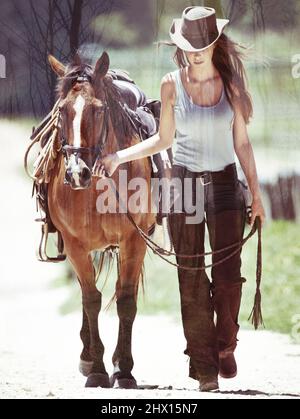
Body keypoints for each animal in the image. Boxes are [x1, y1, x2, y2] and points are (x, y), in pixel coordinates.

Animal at [47, 52, 155, 390]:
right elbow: (91, 299)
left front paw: (125, 369)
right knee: (87, 293)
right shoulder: (75, 245)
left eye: (98, 110)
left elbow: (126, 301)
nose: (76, 173)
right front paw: (95, 367)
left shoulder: (134, 240)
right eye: (63, 110)